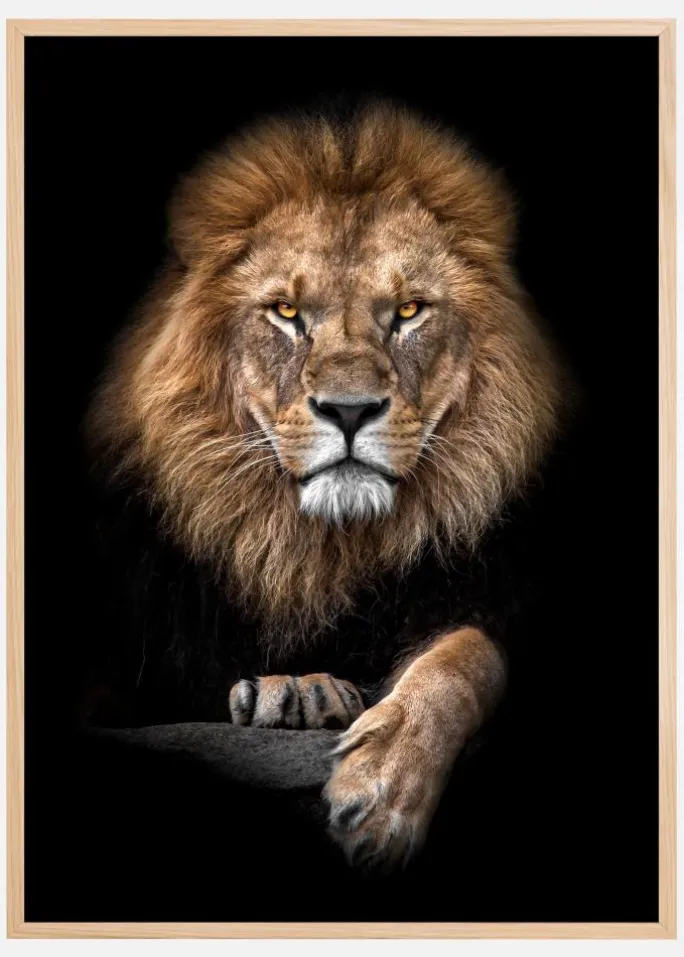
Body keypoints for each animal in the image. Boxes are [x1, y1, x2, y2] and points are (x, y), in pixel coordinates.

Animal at [86, 102, 563, 871]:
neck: (317, 550)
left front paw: (384, 789)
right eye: (286, 313)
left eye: (408, 311)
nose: (348, 410)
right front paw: (296, 694)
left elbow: (468, 656)